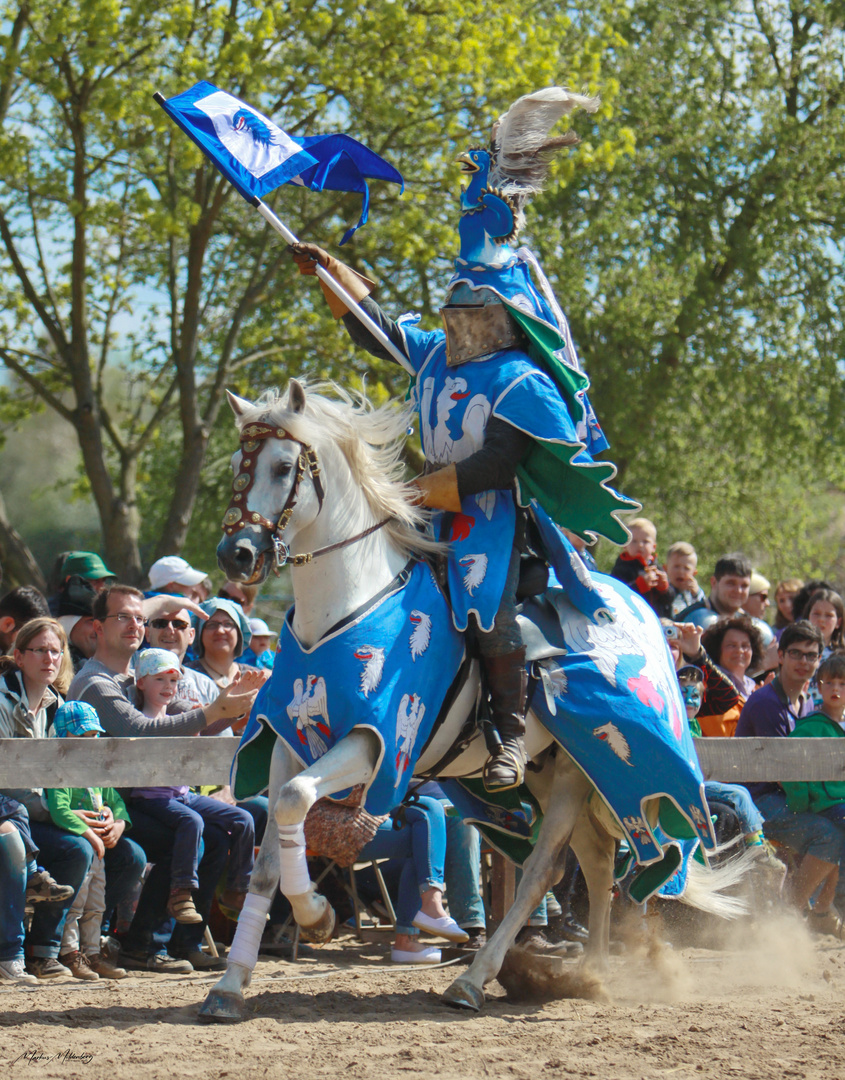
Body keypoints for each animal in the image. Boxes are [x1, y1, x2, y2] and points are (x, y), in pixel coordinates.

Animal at [199, 380, 743, 1019]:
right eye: (239, 464)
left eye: (284, 467)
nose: (235, 554)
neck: (348, 603)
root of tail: (639, 607)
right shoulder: (288, 741)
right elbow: (270, 853)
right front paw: (231, 984)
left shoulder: (374, 743)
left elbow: (291, 802)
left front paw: (317, 916)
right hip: (555, 771)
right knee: (592, 860)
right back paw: (589, 973)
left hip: (587, 770)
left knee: (547, 867)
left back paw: (478, 979)